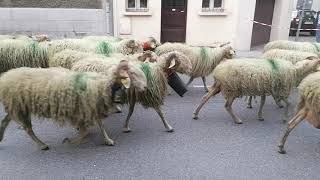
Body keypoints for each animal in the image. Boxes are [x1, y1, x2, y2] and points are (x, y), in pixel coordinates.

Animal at [192, 58, 320, 124]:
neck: (296, 71)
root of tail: (218, 70)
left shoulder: (265, 88)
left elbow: (263, 103)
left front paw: (260, 116)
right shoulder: (279, 89)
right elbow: (288, 103)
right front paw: (284, 117)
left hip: (219, 86)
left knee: (205, 98)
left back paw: (195, 114)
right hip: (232, 89)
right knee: (227, 106)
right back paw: (237, 120)